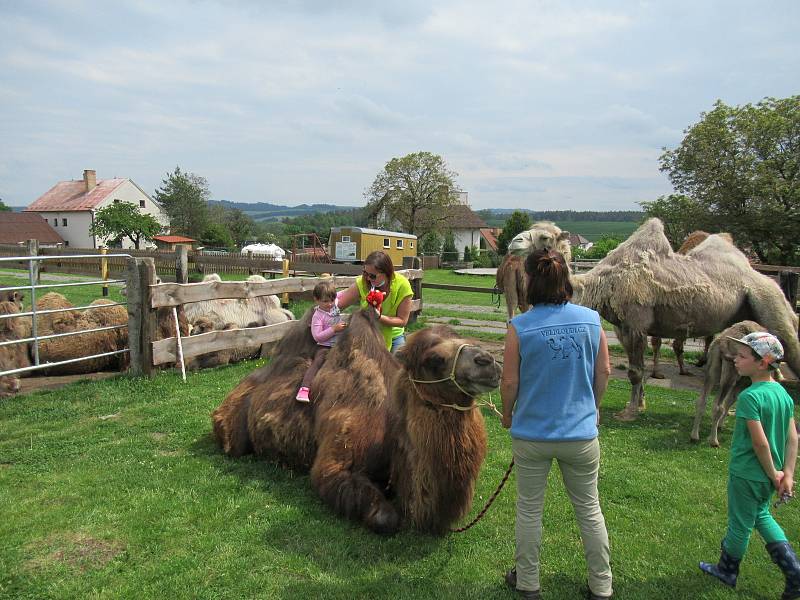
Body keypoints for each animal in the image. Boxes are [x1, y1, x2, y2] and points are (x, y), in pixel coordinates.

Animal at [211, 310, 500, 536]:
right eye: (435, 359)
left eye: (468, 341)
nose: (489, 363)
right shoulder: (333, 462)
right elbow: (386, 518)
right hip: (231, 422)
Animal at [576, 219, 800, 422]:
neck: (603, 283)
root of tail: (771, 283)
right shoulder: (623, 327)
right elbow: (635, 367)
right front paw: (640, 404)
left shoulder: (636, 322)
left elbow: (635, 372)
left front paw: (629, 413)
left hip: (768, 303)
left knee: (791, 349)